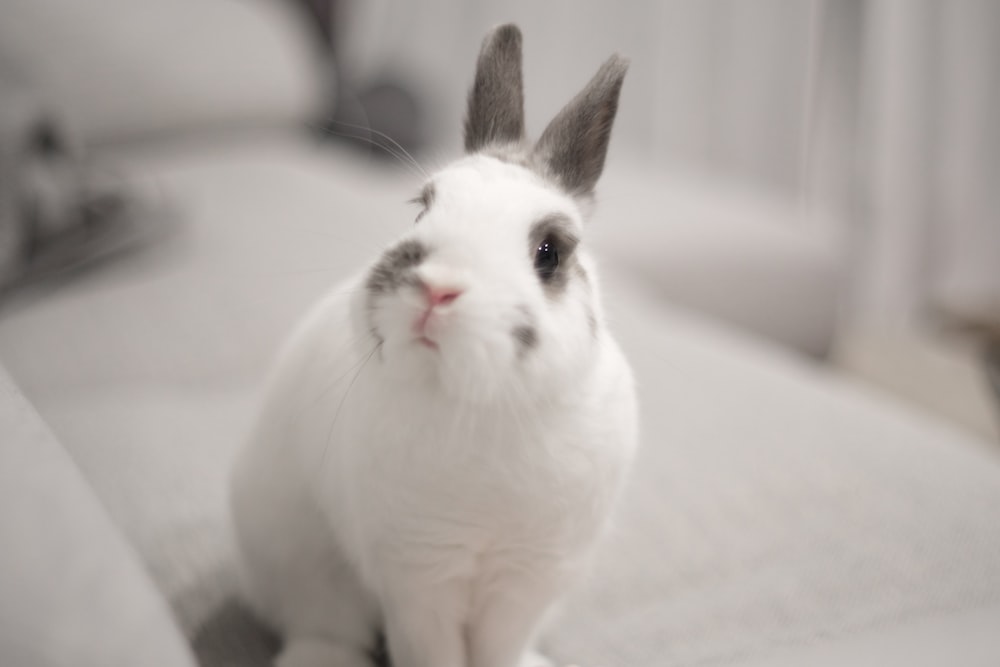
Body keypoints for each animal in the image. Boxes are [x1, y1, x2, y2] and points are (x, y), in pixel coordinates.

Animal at [230, 24, 636, 667]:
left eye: (549, 251)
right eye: (422, 211)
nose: (436, 289)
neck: (483, 406)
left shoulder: (528, 582)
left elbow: (501, 648)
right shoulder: (418, 580)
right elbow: (431, 650)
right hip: (299, 564)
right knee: (323, 626)